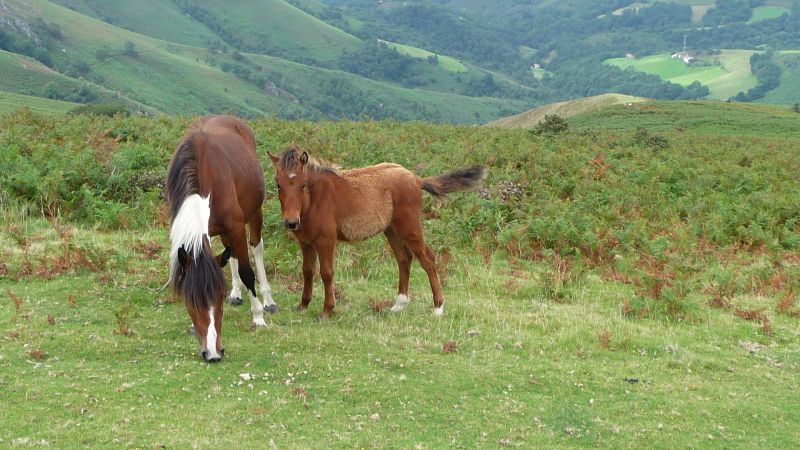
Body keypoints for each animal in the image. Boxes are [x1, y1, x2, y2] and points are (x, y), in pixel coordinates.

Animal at [165, 116, 276, 362]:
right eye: (192, 301)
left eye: (218, 298)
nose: (213, 353)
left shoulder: (236, 228)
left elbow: (247, 272)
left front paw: (258, 316)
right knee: (230, 253)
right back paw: (237, 293)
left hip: (254, 212)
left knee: (256, 248)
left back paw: (268, 300)